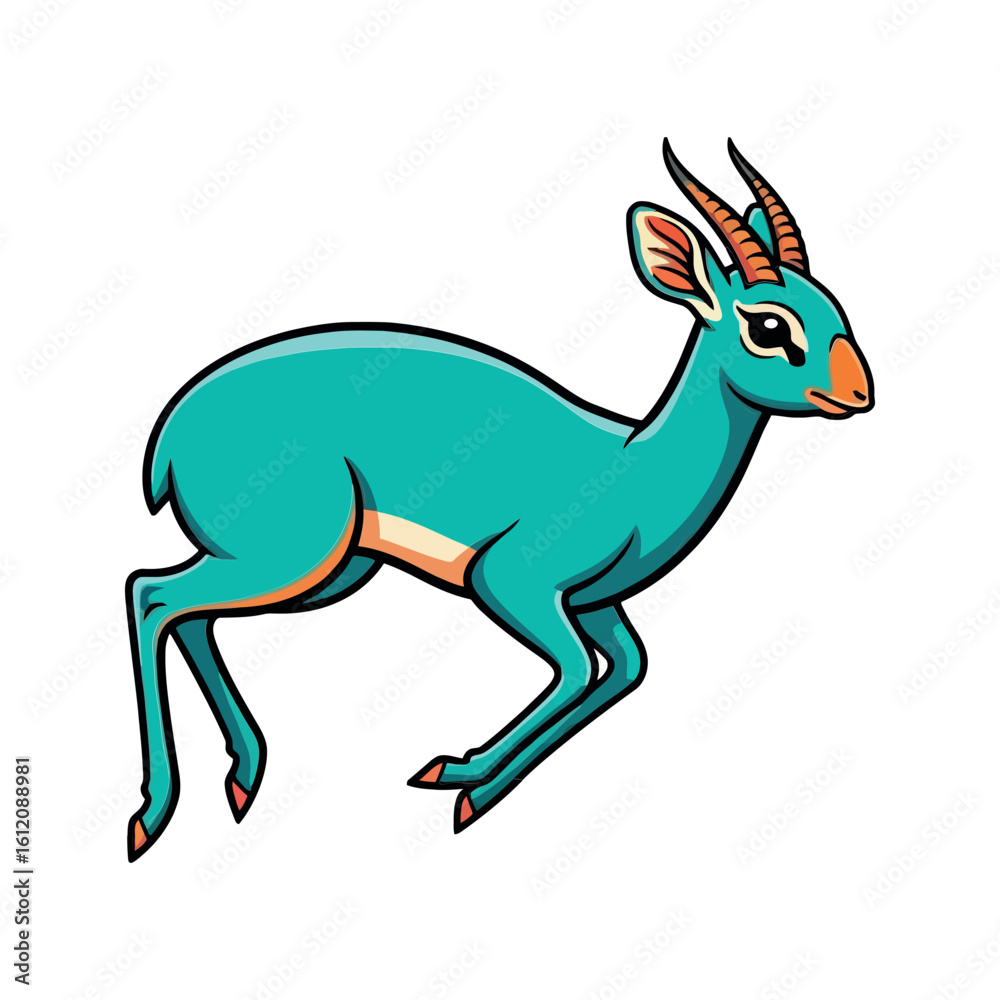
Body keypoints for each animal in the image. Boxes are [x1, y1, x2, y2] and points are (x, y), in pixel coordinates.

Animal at [125, 140, 873, 860]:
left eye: (832, 307)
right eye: (769, 326)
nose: (859, 393)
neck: (632, 466)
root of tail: (170, 430)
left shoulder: (595, 605)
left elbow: (623, 669)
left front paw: (468, 779)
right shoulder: (511, 582)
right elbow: (577, 670)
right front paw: (463, 784)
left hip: (330, 570)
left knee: (186, 612)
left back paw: (244, 778)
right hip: (295, 559)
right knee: (152, 594)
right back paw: (151, 818)